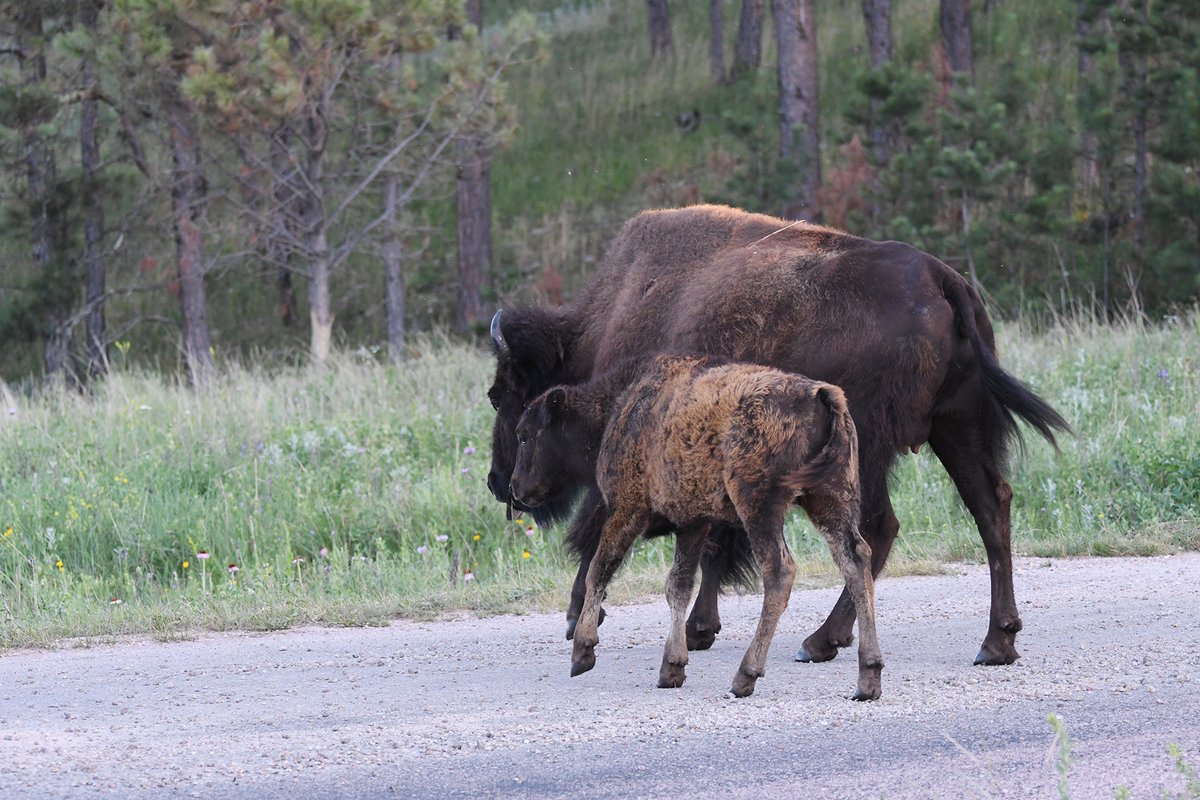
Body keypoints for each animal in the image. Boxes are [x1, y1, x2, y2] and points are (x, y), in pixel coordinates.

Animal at [509, 355, 883, 699]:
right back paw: (868, 677)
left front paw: (582, 652)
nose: (514, 488)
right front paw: (671, 668)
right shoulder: (693, 522)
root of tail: (818, 394)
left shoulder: (626, 510)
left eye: (525, 435)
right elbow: (678, 585)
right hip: (830, 498)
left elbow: (599, 570)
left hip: (760, 506)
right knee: (855, 559)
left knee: (780, 570)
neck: (622, 404)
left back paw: (745, 677)